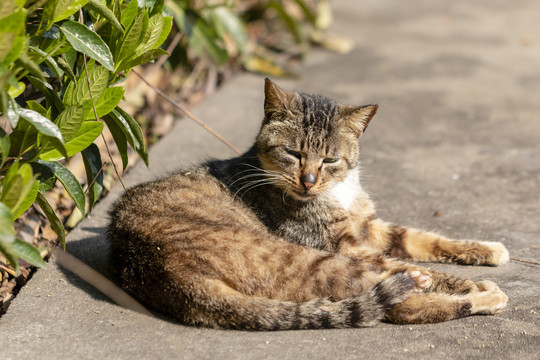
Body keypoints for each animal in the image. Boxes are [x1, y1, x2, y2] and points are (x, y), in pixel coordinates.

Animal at [107, 78, 508, 330]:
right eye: (293, 154)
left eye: (329, 159)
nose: (308, 180)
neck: (337, 190)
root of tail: (154, 268)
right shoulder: (345, 246)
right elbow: (415, 265)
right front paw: (470, 283)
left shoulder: (368, 226)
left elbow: (423, 238)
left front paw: (487, 249)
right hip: (309, 259)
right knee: (400, 303)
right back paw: (485, 296)